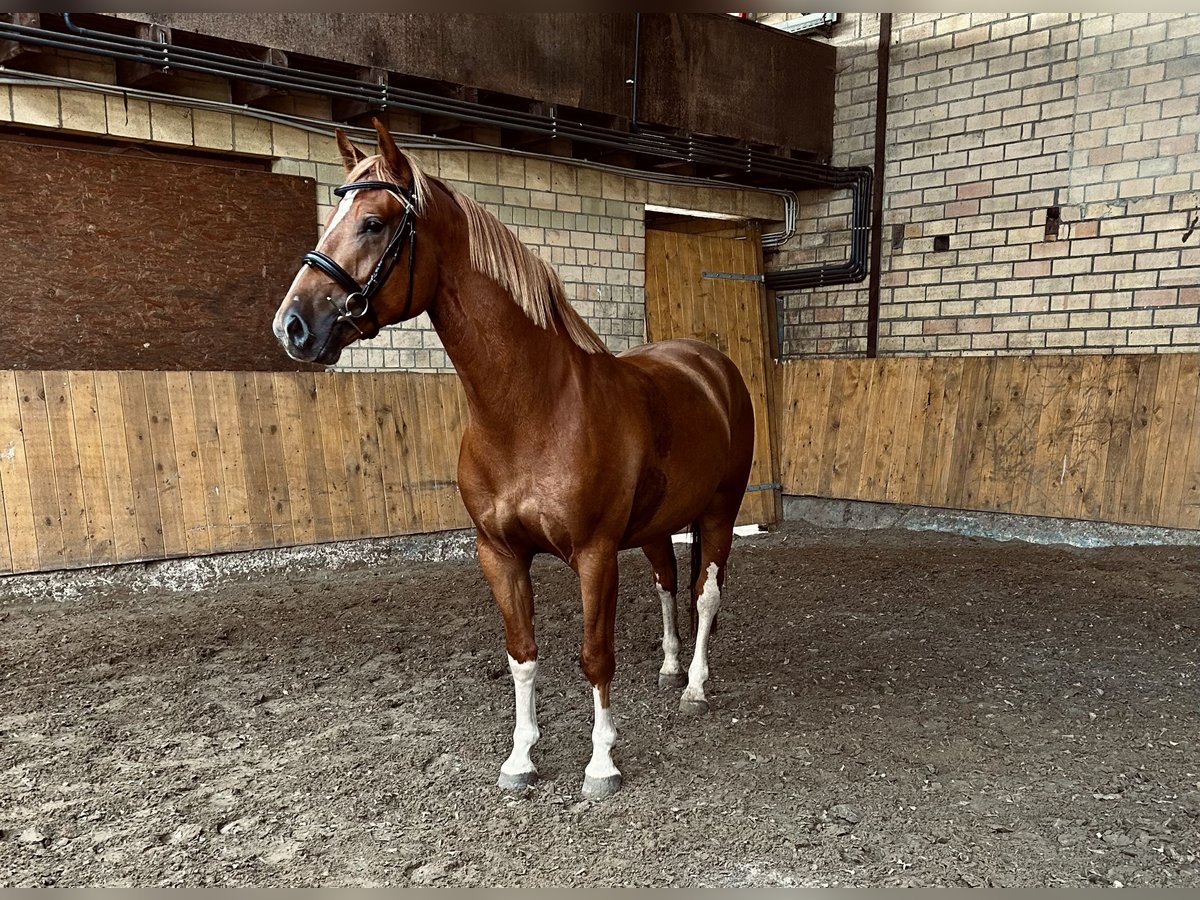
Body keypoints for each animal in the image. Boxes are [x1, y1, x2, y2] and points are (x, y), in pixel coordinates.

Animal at [276, 121, 753, 801]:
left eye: (373, 222)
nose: (292, 325)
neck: (531, 409)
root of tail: (710, 365)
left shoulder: (595, 553)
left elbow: (594, 655)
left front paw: (601, 765)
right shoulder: (499, 554)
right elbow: (522, 654)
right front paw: (521, 758)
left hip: (720, 511)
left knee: (706, 595)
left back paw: (692, 686)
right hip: (657, 527)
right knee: (667, 585)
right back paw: (668, 668)